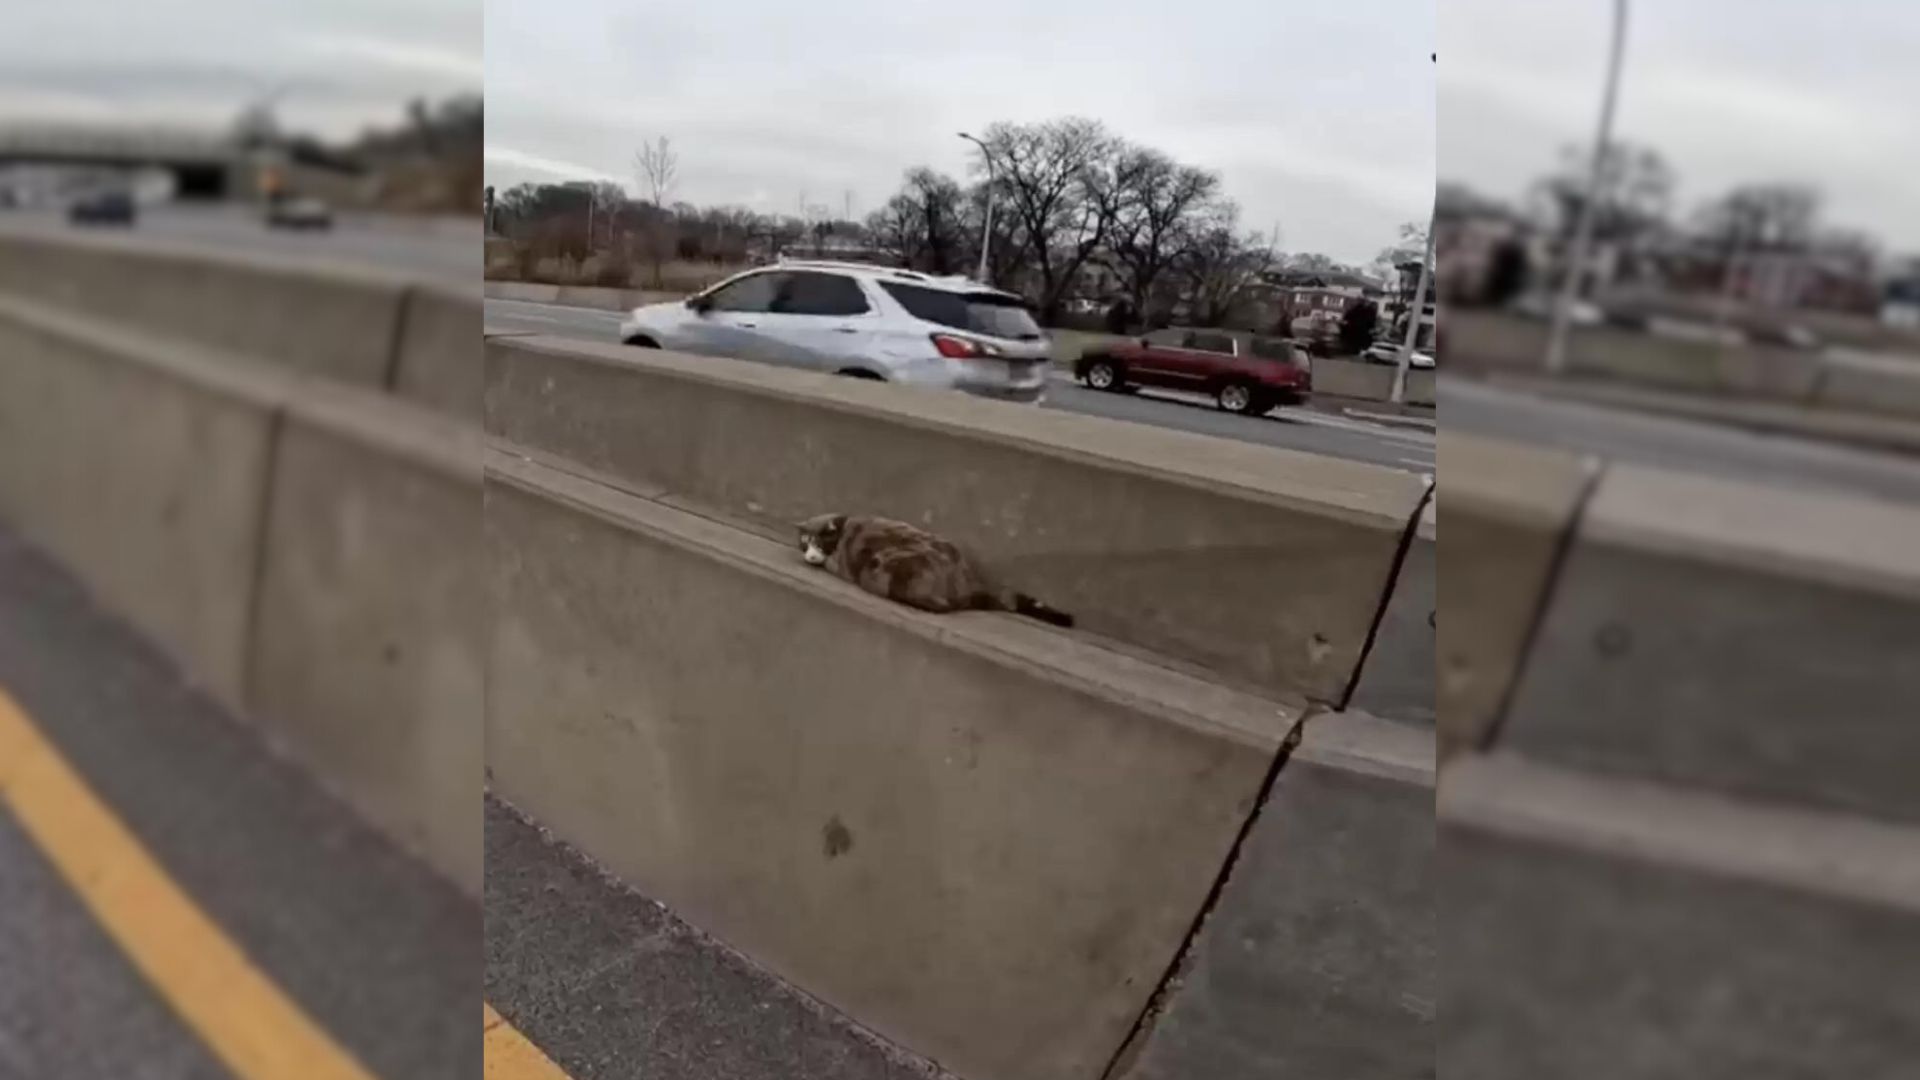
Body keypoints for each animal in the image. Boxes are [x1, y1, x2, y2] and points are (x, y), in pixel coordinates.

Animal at [791, 511, 1075, 626]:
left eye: (818, 543)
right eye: (804, 544)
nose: (810, 556)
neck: (844, 525)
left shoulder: (841, 558)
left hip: (881, 567)